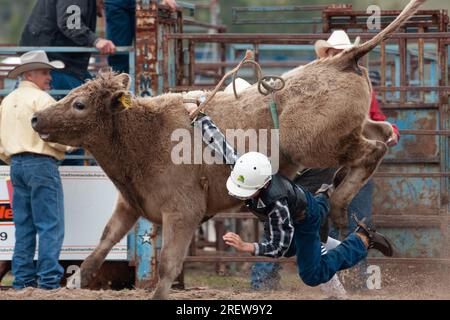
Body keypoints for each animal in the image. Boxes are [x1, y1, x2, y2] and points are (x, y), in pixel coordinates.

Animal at [31, 0, 426, 300]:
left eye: (79, 104)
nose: (36, 118)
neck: (143, 133)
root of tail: (340, 59)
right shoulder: (131, 203)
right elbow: (102, 244)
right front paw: (76, 281)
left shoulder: (182, 212)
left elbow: (169, 265)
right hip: (350, 128)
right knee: (381, 133)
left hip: (321, 143)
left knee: (372, 151)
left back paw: (342, 206)